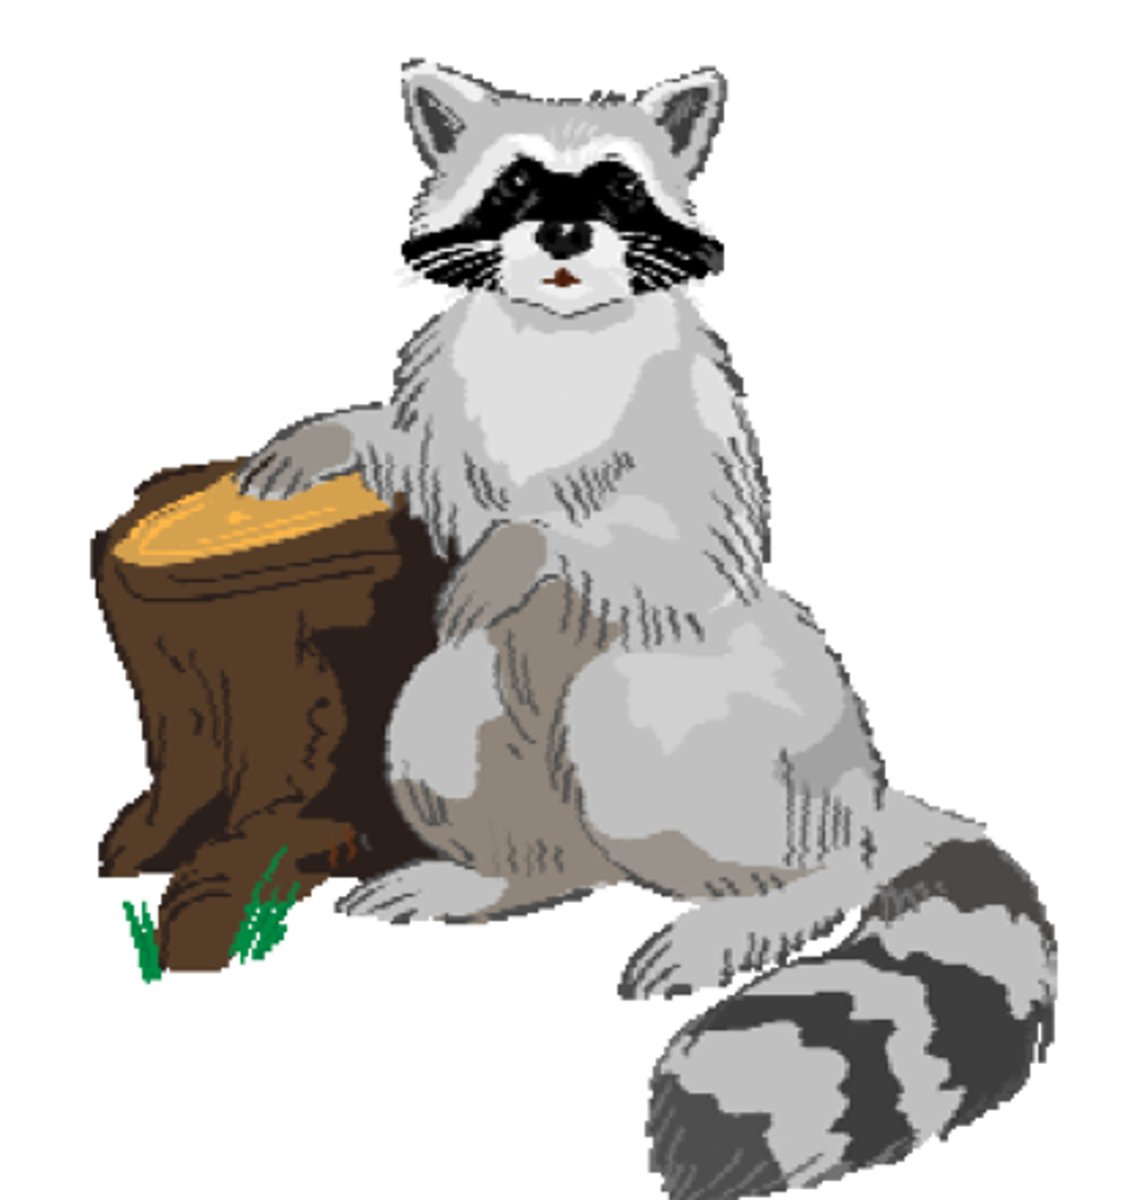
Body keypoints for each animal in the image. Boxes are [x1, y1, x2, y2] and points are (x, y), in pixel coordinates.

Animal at [238, 63, 1056, 1198]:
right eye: (518, 184)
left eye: (616, 188)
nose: (566, 230)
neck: (552, 334)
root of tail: (862, 795)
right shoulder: (452, 401)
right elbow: (418, 461)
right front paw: (335, 435)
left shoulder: (692, 436)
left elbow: (664, 545)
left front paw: (529, 541)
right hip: (486, 729)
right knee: (446, 702)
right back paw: (500, 875)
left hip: (740, 743)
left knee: (636, 714)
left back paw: (764, 899)